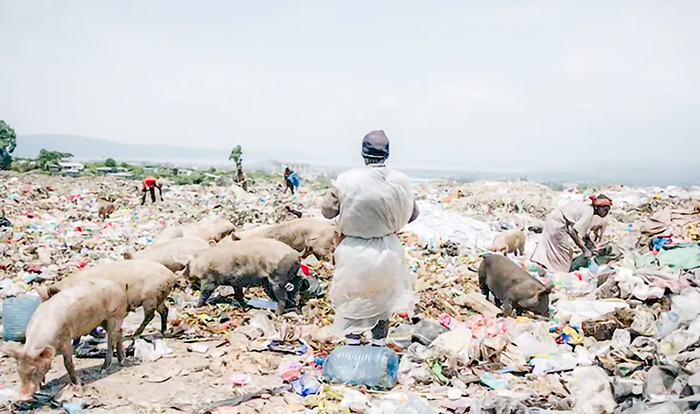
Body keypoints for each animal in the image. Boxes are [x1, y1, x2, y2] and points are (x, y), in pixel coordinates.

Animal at [35, 260, 177, 340]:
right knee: (164, 311)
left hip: (150, 297)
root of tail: (171, 276)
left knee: (150, 315)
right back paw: (164, 332)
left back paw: (135, 334)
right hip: (158, 297)